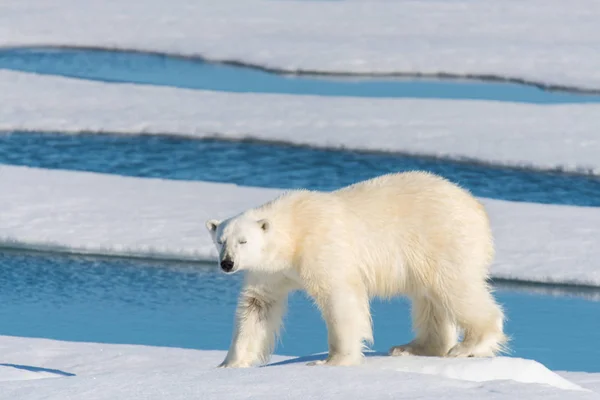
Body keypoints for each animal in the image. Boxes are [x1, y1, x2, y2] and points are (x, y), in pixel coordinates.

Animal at [206, 170, 506, 368]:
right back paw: (411, 347)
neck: (293, 232)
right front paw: (230, 363)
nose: (227, 263)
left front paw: (333, 361)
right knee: (429, 300)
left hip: (443, 239)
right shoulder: (269, 271)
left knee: (454, 288)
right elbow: (258, 305)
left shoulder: (321, 247)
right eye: (221, 240)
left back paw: (468, 346)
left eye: (243, 241)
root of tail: (476, 206)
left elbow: (340, 297)